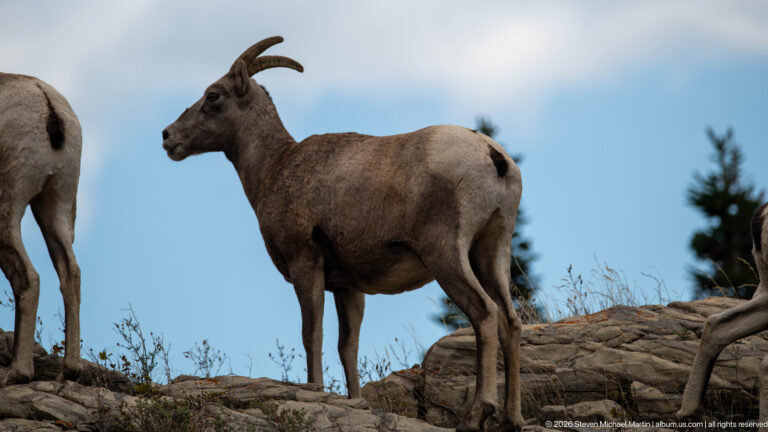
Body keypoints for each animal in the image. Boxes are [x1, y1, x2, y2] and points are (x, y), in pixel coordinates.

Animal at [0, 73, 82, 385]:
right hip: (57, 206)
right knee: (70, 273)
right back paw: (69, 371)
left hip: (7, 208)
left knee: (28, 277)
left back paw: (16, 373)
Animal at [162, 37, 524, 431]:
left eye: (213, 95)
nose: (167, 136)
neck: (274, 168)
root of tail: (493, 157)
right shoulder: (348, 287)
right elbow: (347, 346)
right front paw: (354, 401)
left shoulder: (305, 263)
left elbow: (312, 334)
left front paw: (315, 390)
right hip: (492, 251)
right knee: (510, 320)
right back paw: (512, 419)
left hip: (446, 256)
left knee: (485, 313)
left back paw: (476, 415)